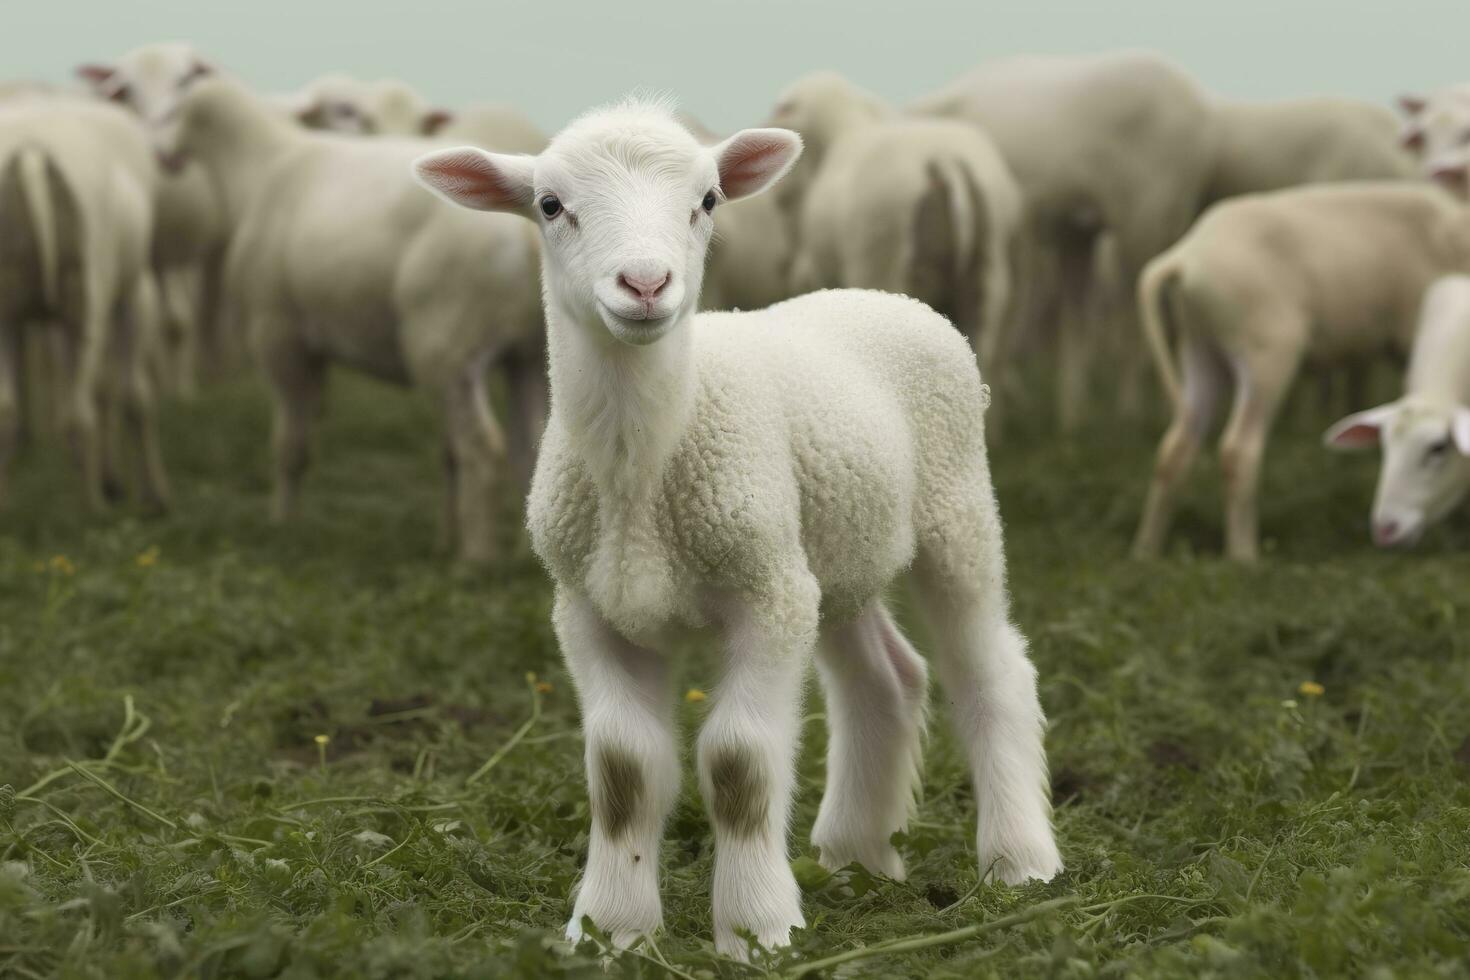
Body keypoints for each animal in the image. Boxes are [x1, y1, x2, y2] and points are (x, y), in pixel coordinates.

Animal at [0, 96, 169, 514]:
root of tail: (30, 152)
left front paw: (115, 480)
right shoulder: (136, 294)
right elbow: (133, 397)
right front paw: (153, 495)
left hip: (12, 313)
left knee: (8, 413)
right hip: (90, 299)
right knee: (79, 414)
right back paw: (93, 511)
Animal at [156, 76, 546, 564]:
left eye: (174, 110)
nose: (160, 153)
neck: (259, 166)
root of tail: (526, 229)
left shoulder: (279, 334)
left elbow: (290, 446)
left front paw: (283, 528)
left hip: (447, 347)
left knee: (483, 451)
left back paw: (475, 562)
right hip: (528, 356)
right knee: (531, 454)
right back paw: (527, 557)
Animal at [414, 97, 1058, 957]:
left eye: (708, 200)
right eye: (550, 205)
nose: (646, 283)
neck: (643, 471)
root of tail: (881, 295)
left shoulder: (765, 598)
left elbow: (739, 764)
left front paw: (757, 930)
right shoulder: (586, 610)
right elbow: (622, 771)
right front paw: (612, 929)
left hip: (953, 512)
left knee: (989, 671)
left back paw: (1020, 861)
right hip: (829, 551)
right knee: (884, 680)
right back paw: (856, 854)